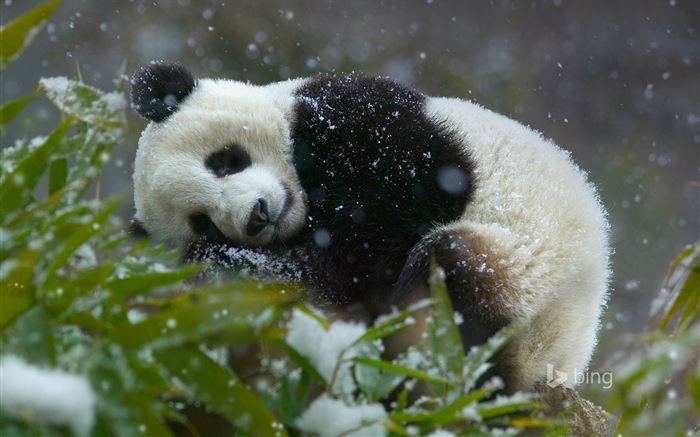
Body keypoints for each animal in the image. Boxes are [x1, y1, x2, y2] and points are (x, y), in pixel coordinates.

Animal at [129, 61, 608, 392]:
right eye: (203, 221)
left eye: (226, 161)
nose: (257, 216)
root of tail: (560, 360)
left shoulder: (358, 119)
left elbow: (399, 209)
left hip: (528, 271)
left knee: (451, 268)